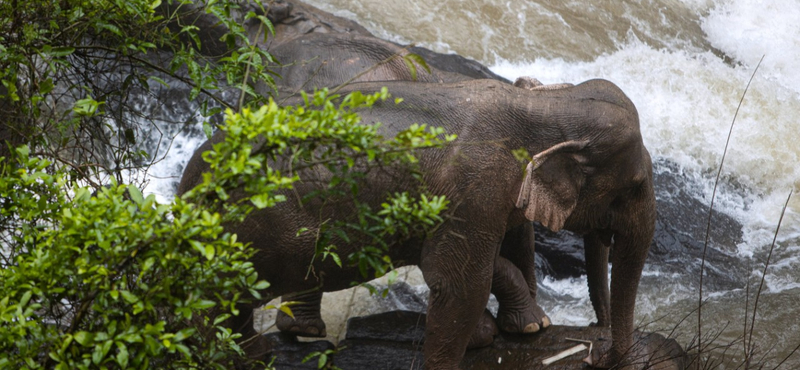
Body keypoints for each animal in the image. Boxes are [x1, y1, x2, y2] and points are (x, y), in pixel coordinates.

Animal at [178, 77, 652, 368]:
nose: (597, 348)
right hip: (263, 228)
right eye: (634, 186)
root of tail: (190, 181)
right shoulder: (476, 187)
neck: (544, 105)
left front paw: (522, 327)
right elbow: (460, 283)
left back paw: (269, 346)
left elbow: (495, 253)